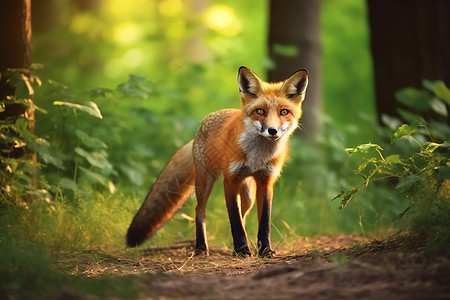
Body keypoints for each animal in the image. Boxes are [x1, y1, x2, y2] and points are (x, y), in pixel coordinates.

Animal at [126, 67, 310, 256]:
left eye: (284, 112)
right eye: (260, 111)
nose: (272, 131)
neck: (257, 156)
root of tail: (202, 125)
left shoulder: (266, 181)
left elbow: (264, 221)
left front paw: (265, 250)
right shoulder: (229, 180)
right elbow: (235, 220)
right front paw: (242, 250)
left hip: (248, 194)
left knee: (243, 215)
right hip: (205, 182)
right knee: (199, 211)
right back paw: (201, 247)